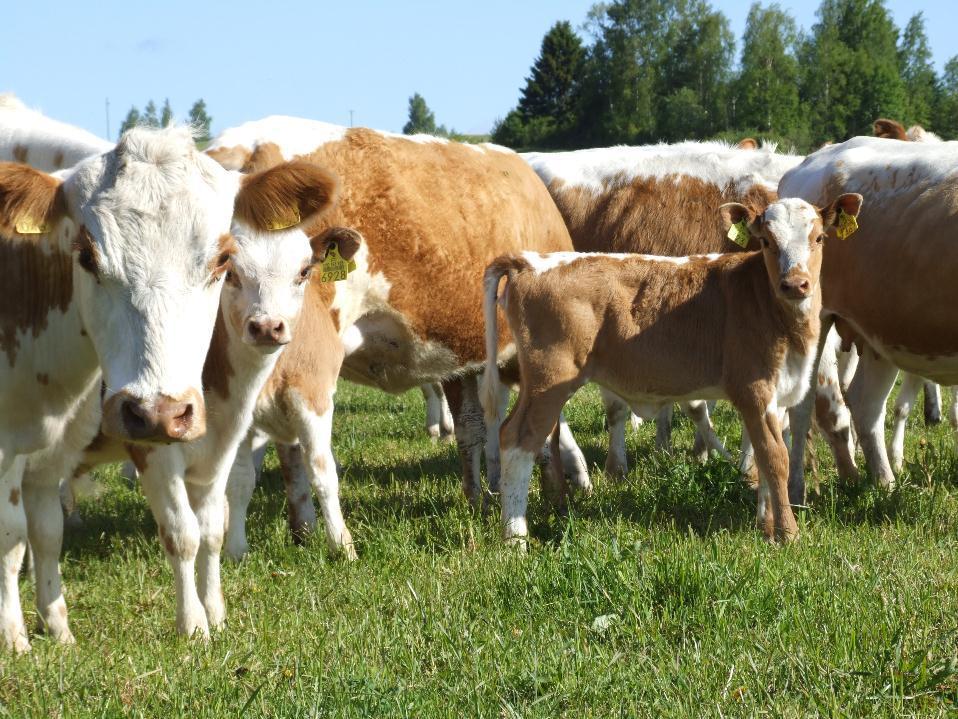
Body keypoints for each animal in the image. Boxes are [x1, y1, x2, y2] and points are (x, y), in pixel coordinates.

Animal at [0, 126, 342, 656]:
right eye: (86, 256)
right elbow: (180, 532)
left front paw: (216, 612)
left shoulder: (217, 442)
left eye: (221, 259)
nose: (159, 413)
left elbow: (212, 528)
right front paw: (193, 625)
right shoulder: (147, 450)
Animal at [484, 194, 868, 544]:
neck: (768, 304)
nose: (795, 284)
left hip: (541, 383)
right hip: (550, 378)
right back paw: (515, 538)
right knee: (517, 440)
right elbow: (775, 459)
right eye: (766, 241)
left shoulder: (781, 395)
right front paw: (788, 535)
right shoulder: (754, 392)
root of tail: (530, 261)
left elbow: (763, 457)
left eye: (818, 238)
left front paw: (766, 526)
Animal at [780, 136, 958, 496]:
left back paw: (885, 485)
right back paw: (796, 491)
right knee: (804, 406)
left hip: (883, 329)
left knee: (865, 405)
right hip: (815, 318)